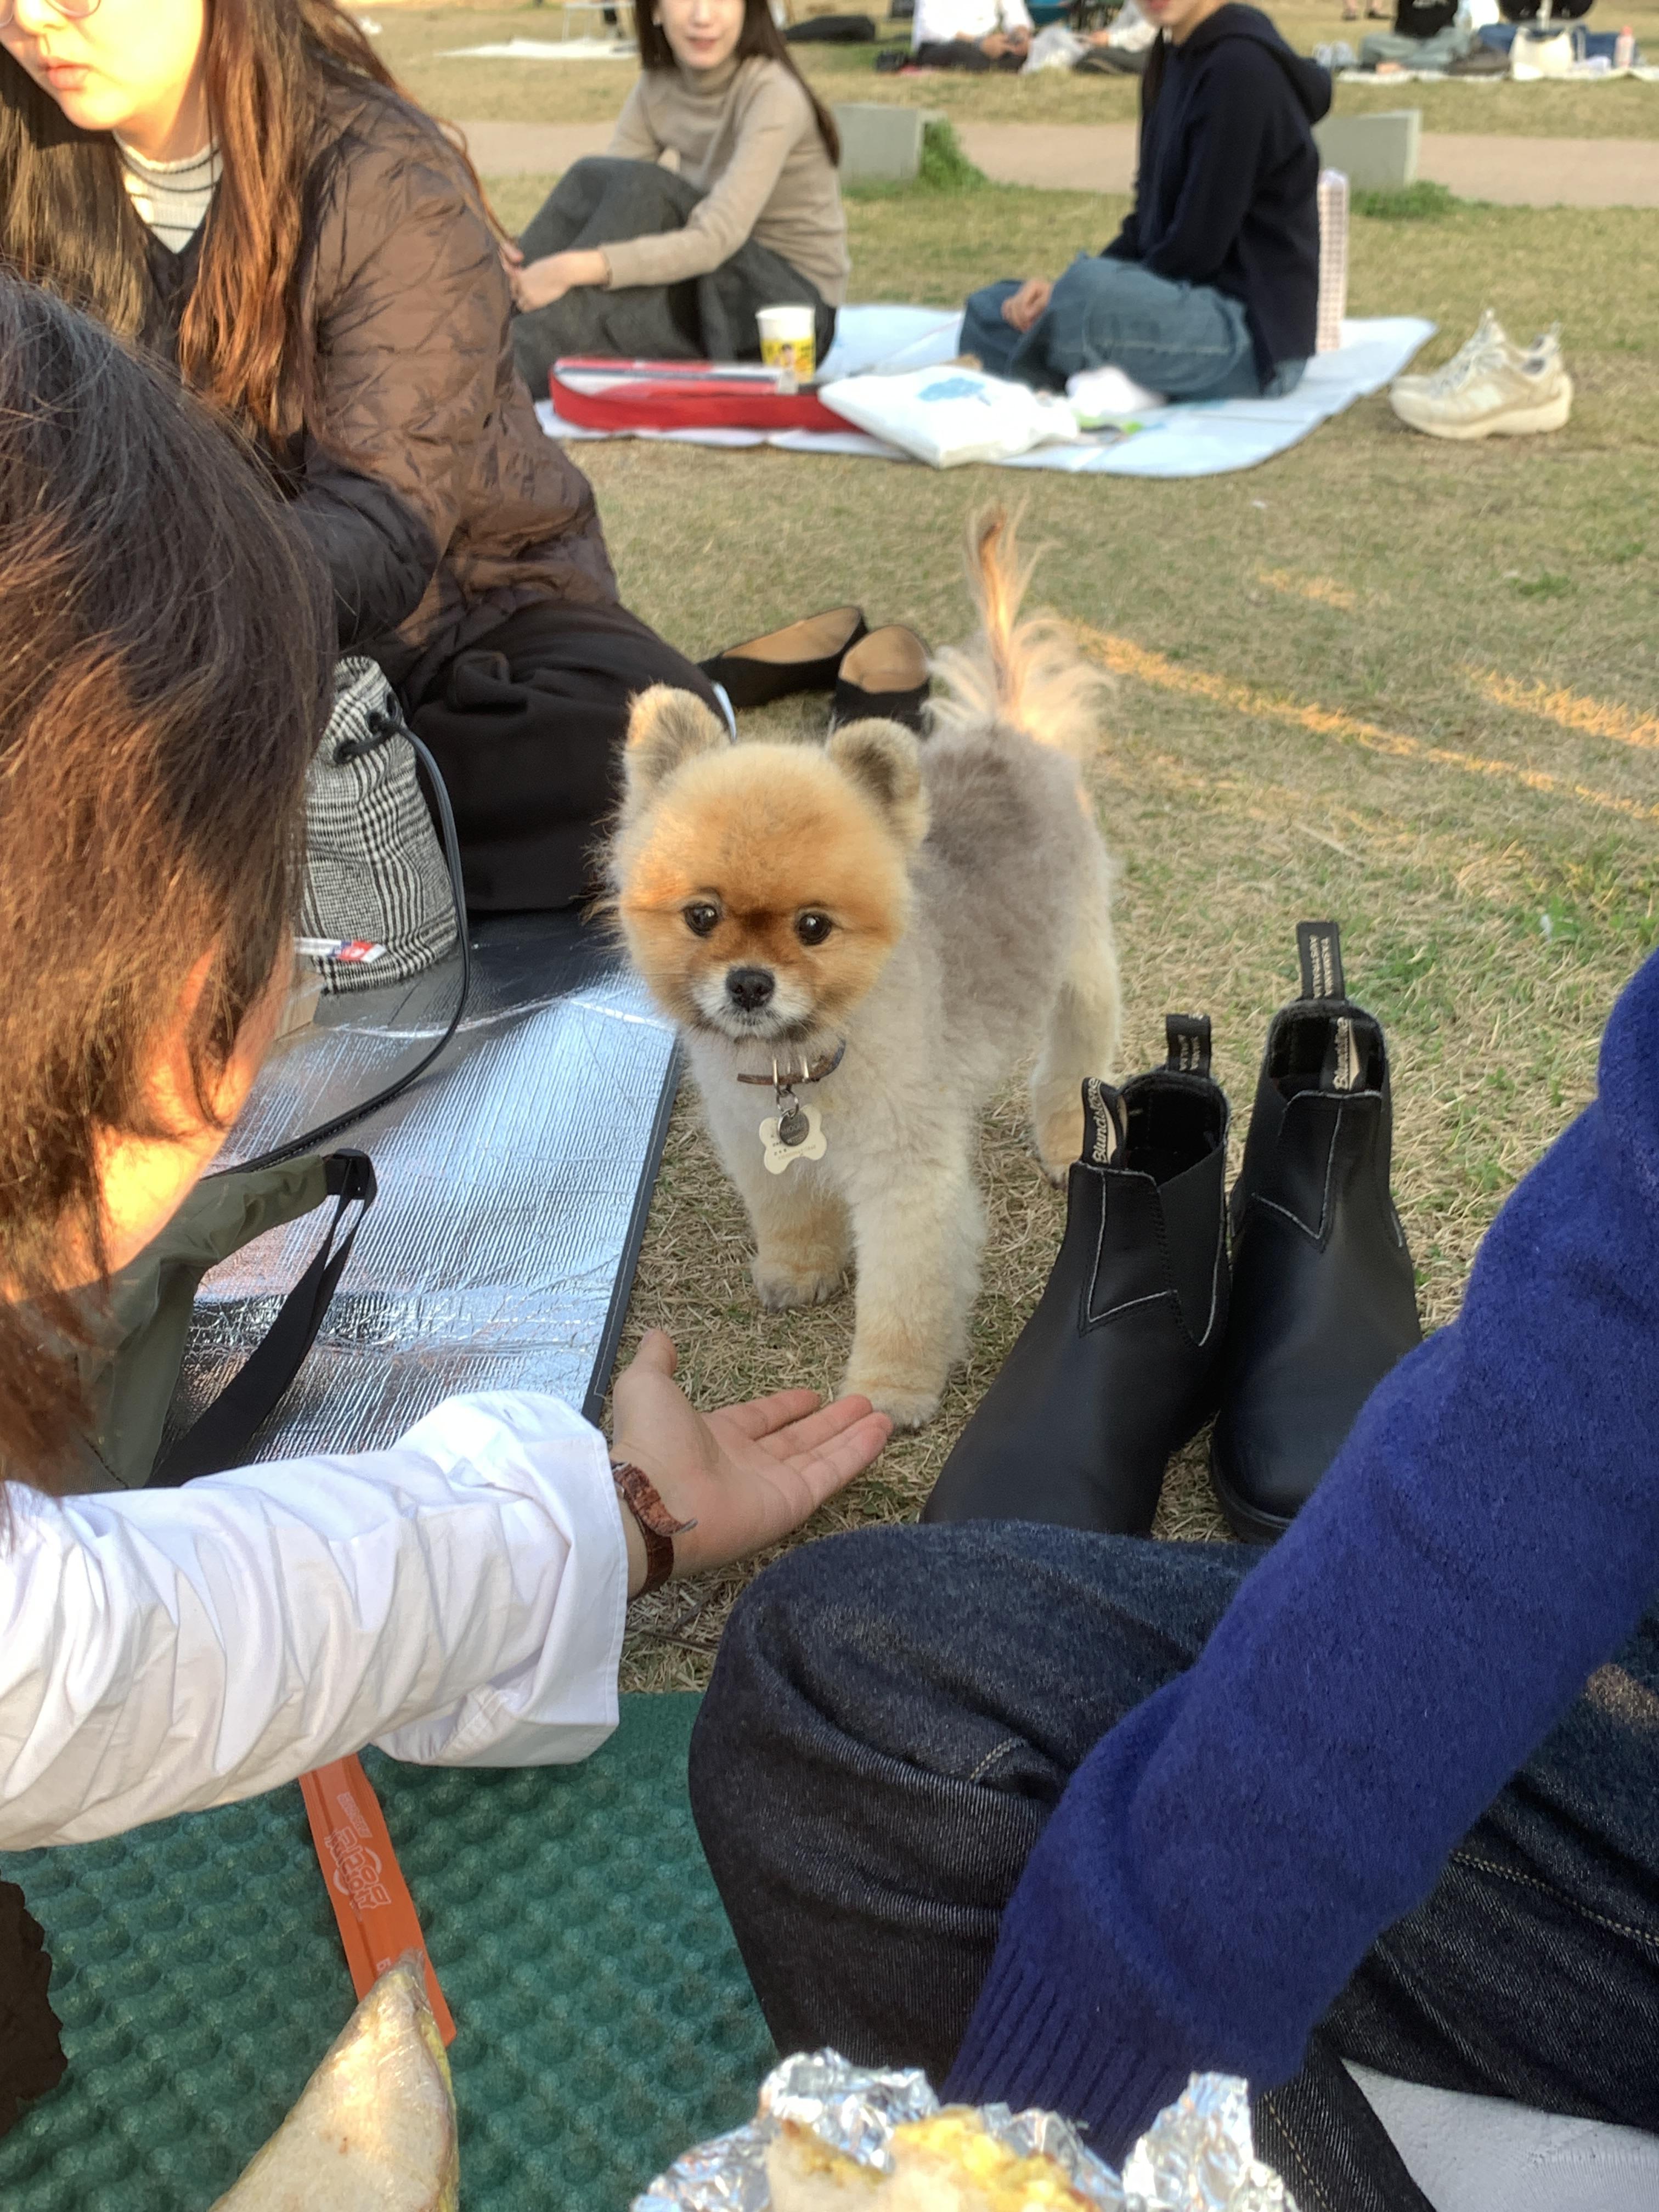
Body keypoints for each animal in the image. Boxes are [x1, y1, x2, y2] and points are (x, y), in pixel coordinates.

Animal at [608, 512, 1121, 1428]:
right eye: (701, 916)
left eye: (814, 928)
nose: (749, 983)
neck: (799, 1058)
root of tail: (1008, 729)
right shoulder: (750, 1133)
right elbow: (788, 1208)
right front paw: (801, 1269)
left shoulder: (905, 1175)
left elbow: (907, 1295)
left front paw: (891, 1390)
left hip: (1081, 960)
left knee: (1075, 1060)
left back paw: (1068, 1139)